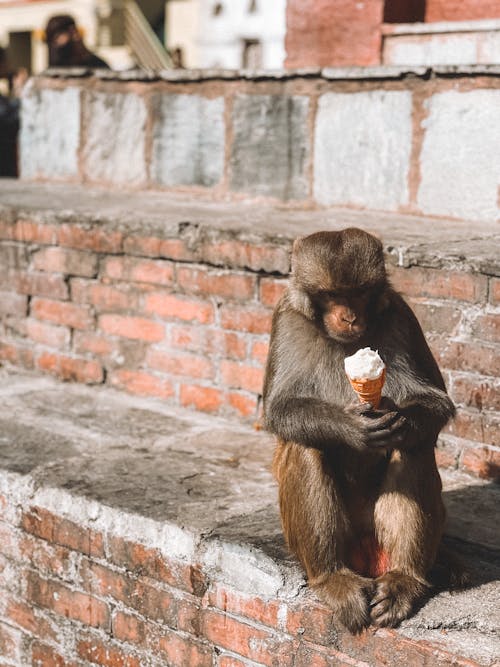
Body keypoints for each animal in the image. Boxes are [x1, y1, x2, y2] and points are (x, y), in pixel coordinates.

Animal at [264, 227, 458, 636]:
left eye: (358, 293)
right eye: (331, 296)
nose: (349, 316)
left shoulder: (401, 314)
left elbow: (434, 403)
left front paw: (400, 418)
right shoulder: (287, 319)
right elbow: (279, 409)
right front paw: (353, 428)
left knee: (414, 447)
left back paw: (404, 579)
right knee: (307, 446)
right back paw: (332, 577)